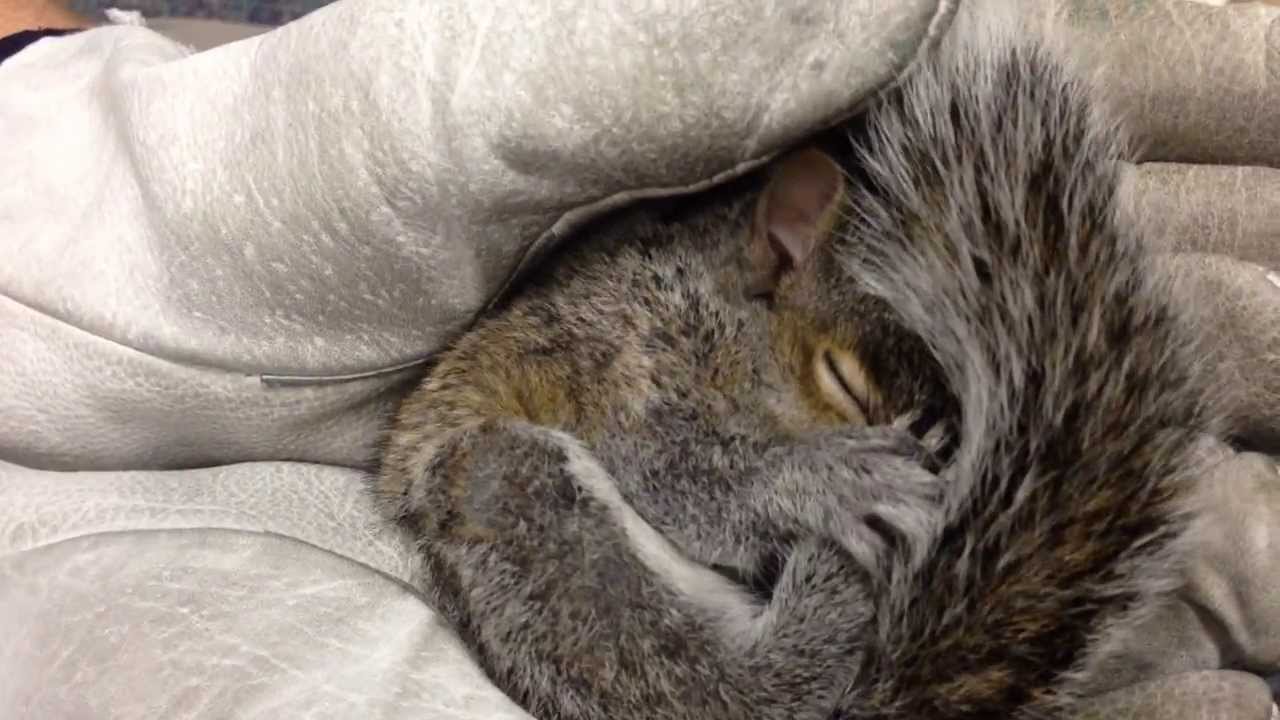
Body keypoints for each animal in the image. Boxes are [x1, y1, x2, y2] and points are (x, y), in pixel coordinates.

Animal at [373, 18, 1230, 720]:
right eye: (845, 384)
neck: (714, 304)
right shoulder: (625, 358)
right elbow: (675, 472)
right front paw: (831, 481)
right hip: (515, 504)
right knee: (727, 691)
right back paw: (832, 591)